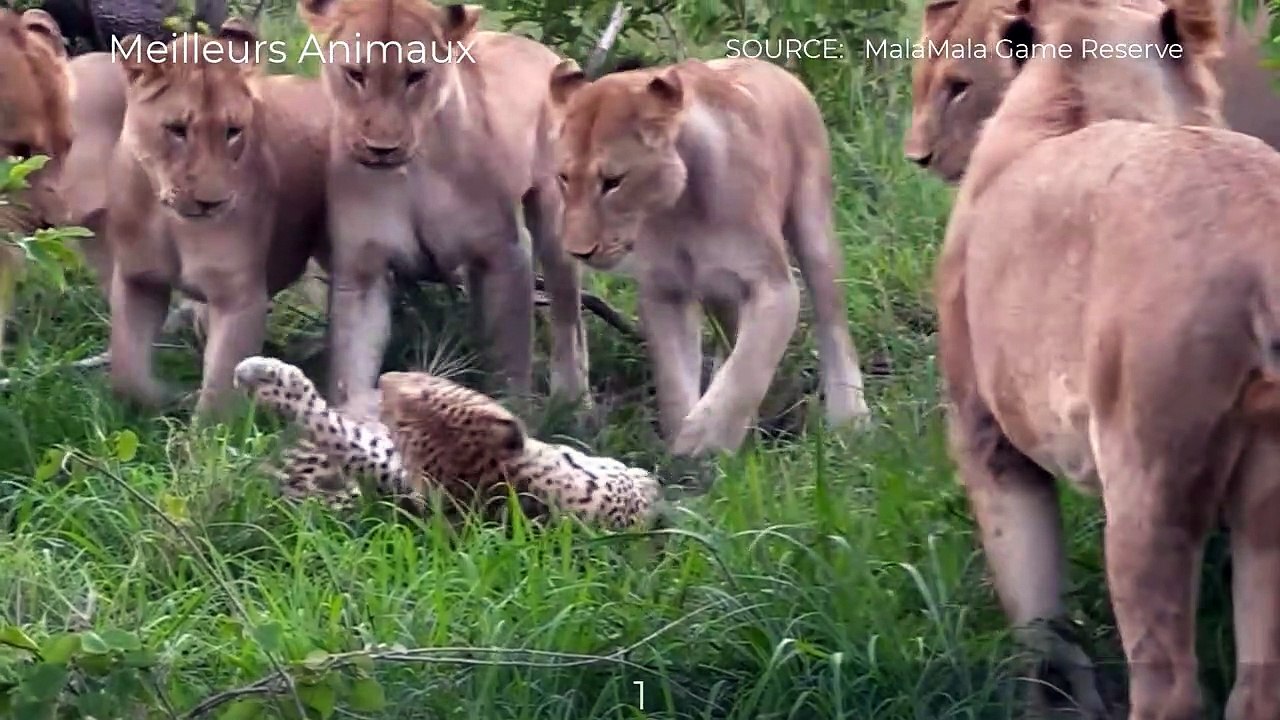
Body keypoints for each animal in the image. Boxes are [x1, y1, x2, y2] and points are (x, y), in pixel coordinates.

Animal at [104, 21, 333, 417]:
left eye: (233, 131)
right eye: (177, 129)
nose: (211, 203)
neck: (170, 222)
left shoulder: (239, 296)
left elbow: (220, 392)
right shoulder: (137, 279)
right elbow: (127, 370)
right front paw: (162, 398)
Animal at [296, 0, 590, 410]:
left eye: (416, 76)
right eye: (355, 74)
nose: (381, 149)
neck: (412, 170)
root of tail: (539, 48)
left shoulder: (506, 253)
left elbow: (511, 363)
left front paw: (514, 414)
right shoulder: (362, 269)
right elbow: (350, 368)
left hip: (555, 219)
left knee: (569, 319)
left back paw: (573, 402)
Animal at [546, 56, 872, 458]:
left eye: (613, 182)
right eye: (563, 177)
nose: (578, 250)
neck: (680, 209)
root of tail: (772, 67)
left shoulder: (772, 286)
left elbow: (749, 365)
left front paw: (703, 441)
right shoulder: (665, 291)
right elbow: (675, 382)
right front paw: (686, 455)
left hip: (813, 231)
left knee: (832, 322)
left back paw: (851, 420)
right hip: (718, 289)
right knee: (729, 336)